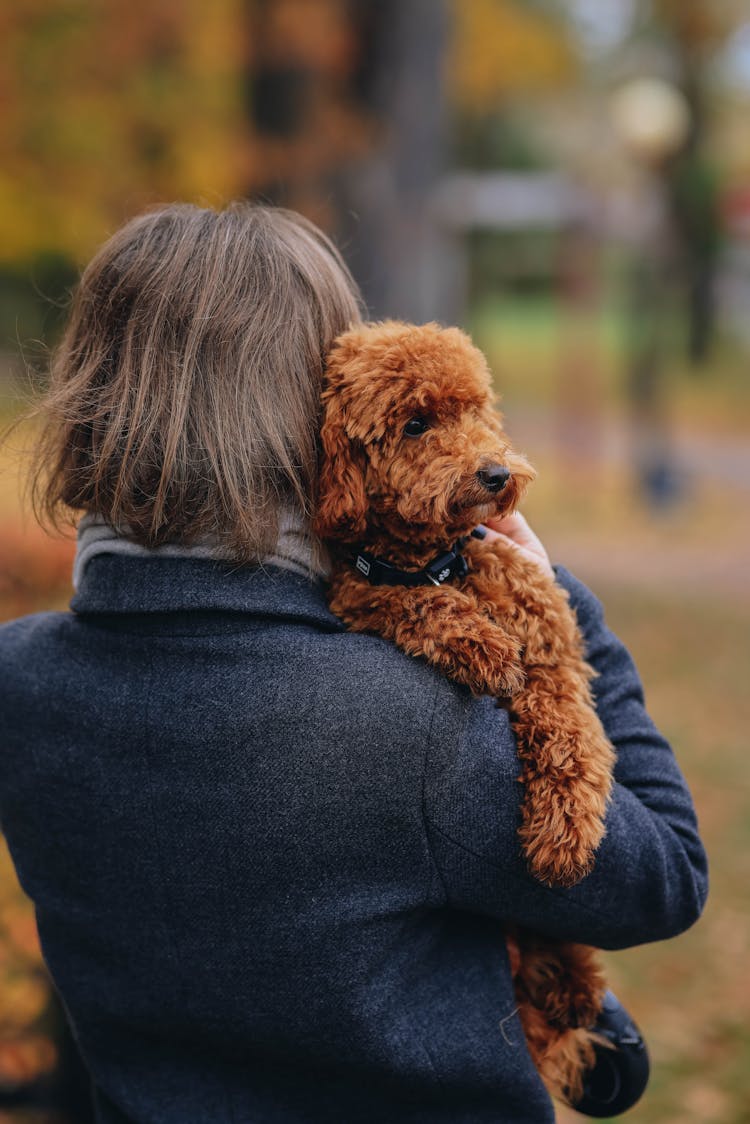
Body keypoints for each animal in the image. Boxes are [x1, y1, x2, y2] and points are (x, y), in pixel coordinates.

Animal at [314, 319, 620, 1106]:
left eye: (478, 409)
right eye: (415, 424)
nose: (494, 474)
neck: (439, 562)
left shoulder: (553, 656)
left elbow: (569, 738)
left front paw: (563, 840)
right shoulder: (362, 592)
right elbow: (412, 606)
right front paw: (478, 645)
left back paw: (574, 981)